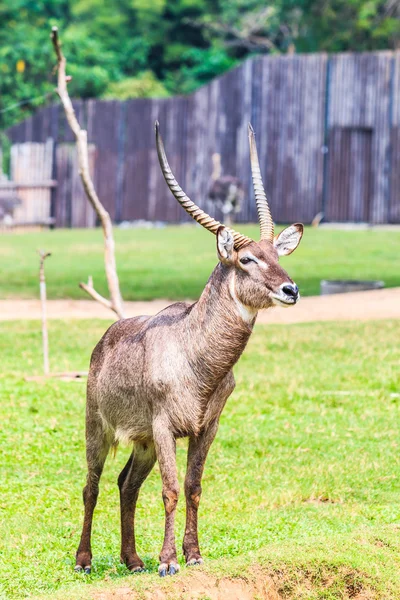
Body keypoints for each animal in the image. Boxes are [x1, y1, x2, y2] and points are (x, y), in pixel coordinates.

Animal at [74, 120, 304, 576]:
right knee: (92, 485)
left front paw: (193, 554)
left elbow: (193, 486)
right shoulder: (165, 427)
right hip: (99, 428)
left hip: (142, 441)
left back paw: (133, 560)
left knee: (126, 483)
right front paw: (168, 562)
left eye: (276, 253)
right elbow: (170, 490)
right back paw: (85, 560)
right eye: (247, 259)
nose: (291, 290)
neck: (197, 357)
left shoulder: (206, 427)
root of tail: (104, 338)